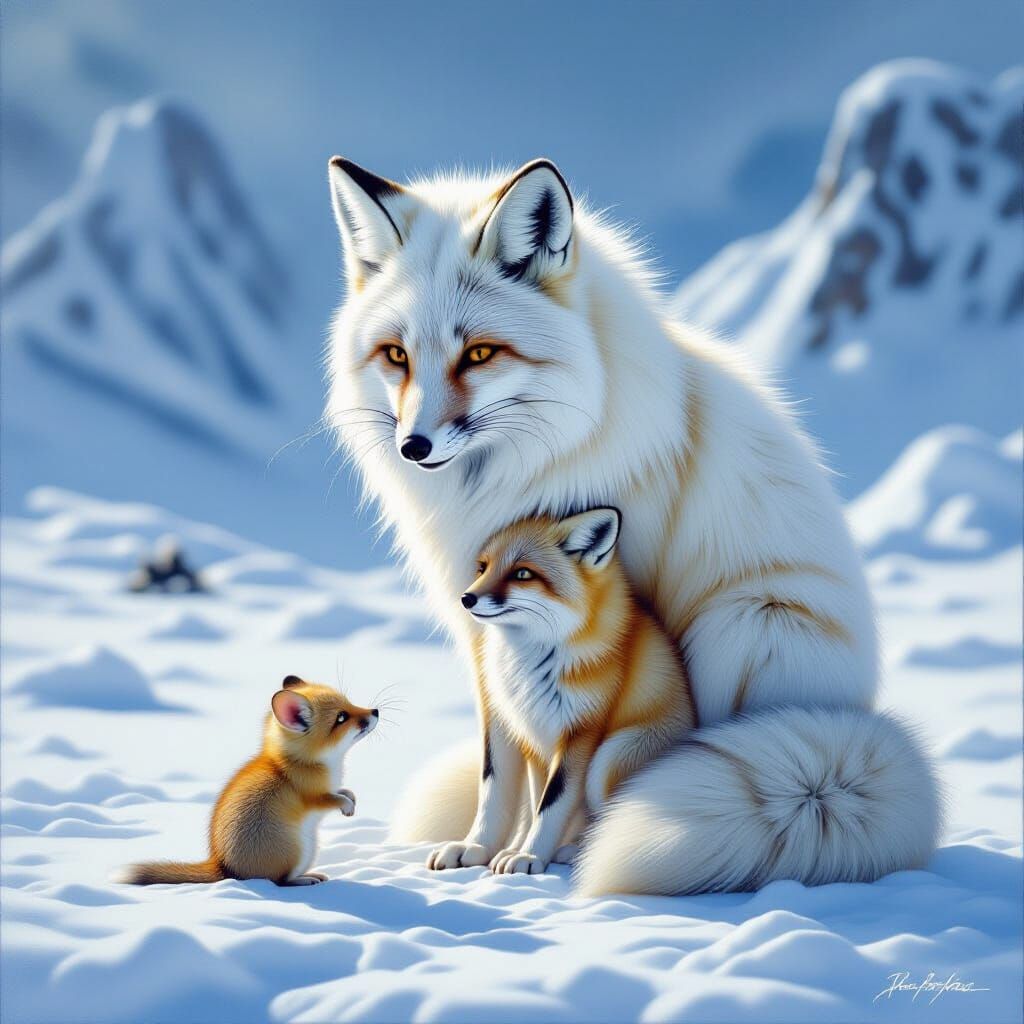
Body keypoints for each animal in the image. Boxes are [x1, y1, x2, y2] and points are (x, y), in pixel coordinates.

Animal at [120, 677, 377, 886]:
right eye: (341, 717)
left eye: (349, 702)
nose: (375, 711)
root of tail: (225, 867)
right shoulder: (314, 796)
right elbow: (334, 799)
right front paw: (347, 807)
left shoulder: (332, 786)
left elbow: (345, 791)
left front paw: (351, 799)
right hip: (299, 851)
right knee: (279, 881)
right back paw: (305, 879)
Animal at [428, 507, 696, 875]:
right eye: (482, 568)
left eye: (522, 573)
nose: (466, 598)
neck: (531, 666)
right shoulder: (519, 727)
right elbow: (499, 793)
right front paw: (479, 848)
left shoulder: (580, 731)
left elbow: (552, 803)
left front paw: (529, 857)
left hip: (609, 758)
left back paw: (579, 851)